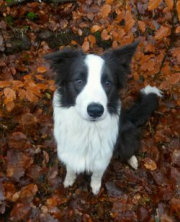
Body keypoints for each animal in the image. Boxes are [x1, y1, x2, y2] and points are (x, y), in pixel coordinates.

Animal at [45, 41, 162, 194]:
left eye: (107, 83)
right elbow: (71, 169)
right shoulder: (68, 152)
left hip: (125, 134)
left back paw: (132, 160)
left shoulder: (102, 158)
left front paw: (95, 187)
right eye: (79, 81)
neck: (88, 129)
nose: (95, 110)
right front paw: (69, 181)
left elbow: (97, 174)